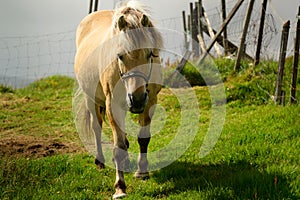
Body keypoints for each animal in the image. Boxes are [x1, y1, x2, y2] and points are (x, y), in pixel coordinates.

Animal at [73, 0, 163, 198]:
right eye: (120, 56)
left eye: (149, 54)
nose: (137, 99)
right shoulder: (112, 105)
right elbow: (118, 148)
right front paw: (120, 188)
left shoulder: (150, 101)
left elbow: (143, 139)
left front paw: (142, 171)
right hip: (92, 100)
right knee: (97, 128)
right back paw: (100, 161)